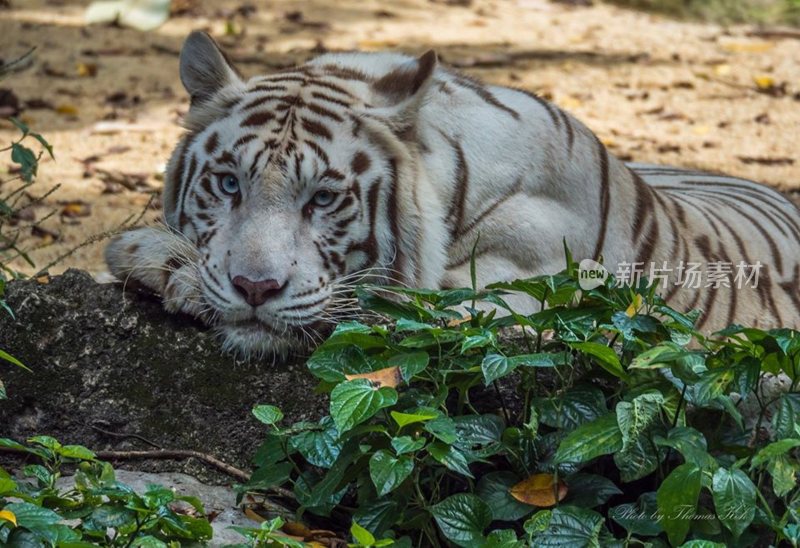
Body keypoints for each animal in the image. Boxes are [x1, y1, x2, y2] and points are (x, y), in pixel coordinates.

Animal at [104, 31, 800, 356]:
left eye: (323, 199)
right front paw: (157, 255)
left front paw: (164, 263)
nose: (254, 289)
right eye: (228, 184)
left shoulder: (519, 294)